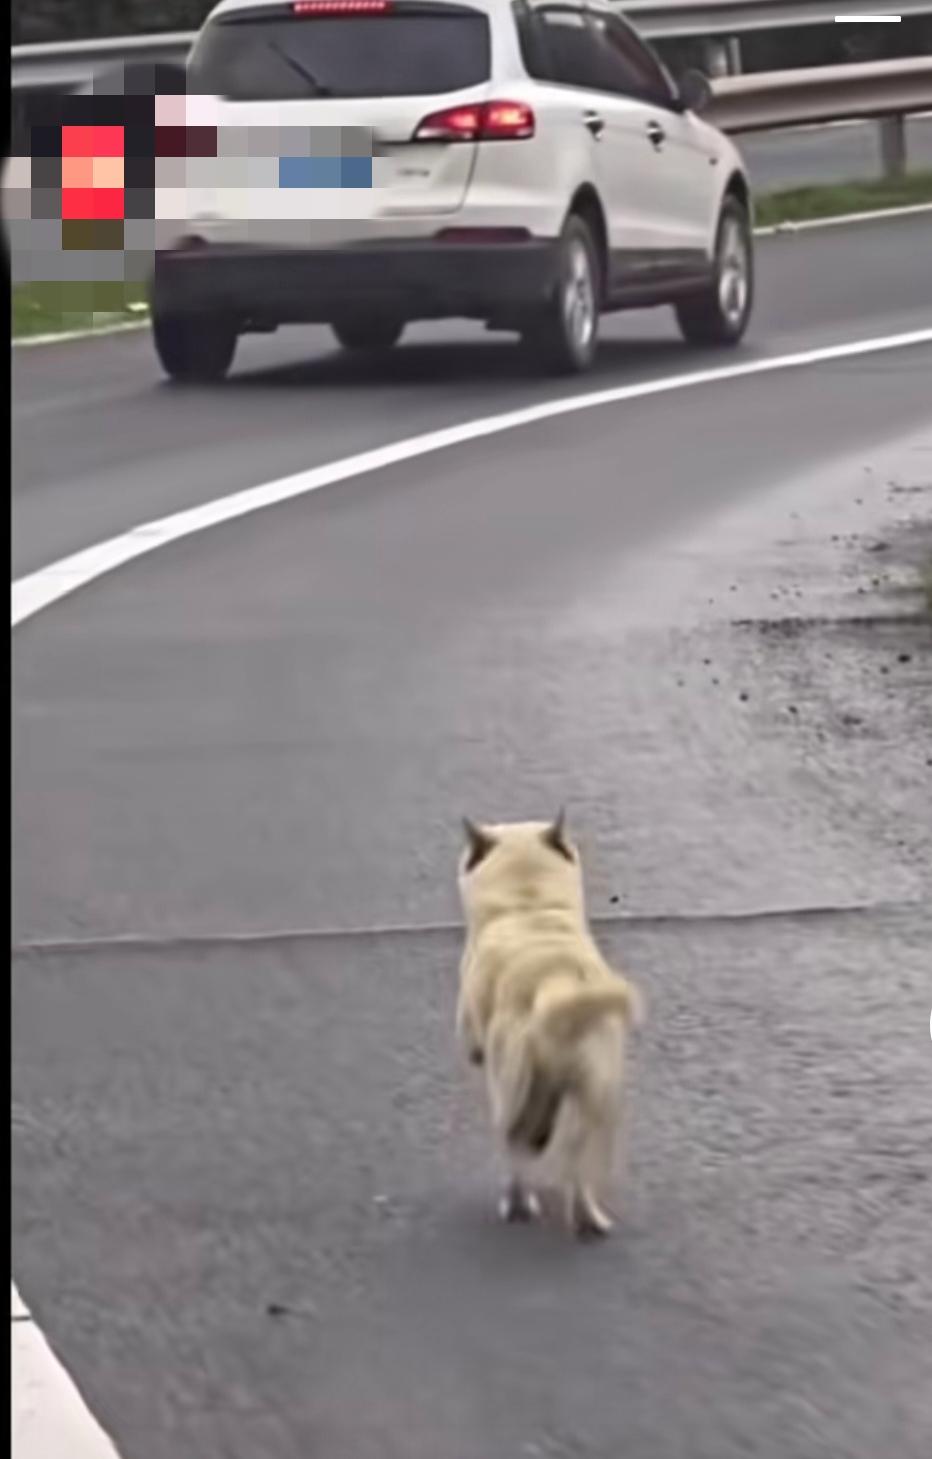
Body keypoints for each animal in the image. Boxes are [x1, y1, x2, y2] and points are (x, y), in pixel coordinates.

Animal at [457, 817, 644, 1237]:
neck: (529, 904)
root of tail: (556, 984)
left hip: (511, 1092)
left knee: (515, 1149)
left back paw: (518, 1203)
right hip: (597, 1093)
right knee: (577, 1164)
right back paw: (590, 1219)